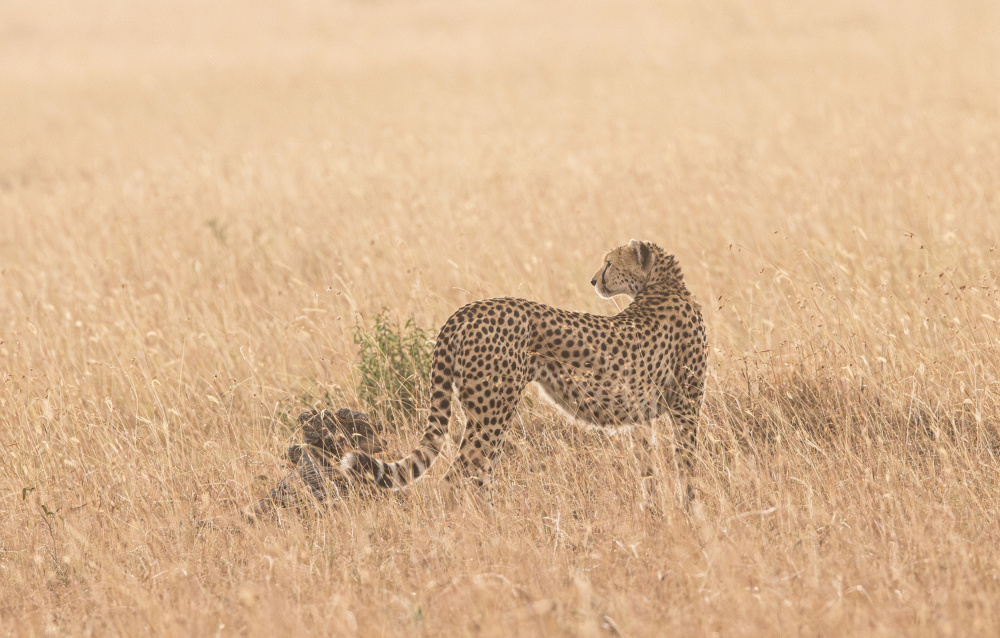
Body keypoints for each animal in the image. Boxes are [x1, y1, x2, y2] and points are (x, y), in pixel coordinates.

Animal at [339, 239, 708, 503]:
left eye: (609, 263)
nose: (593, 280)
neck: (663, 286)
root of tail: (466, 310)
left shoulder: (640, 415)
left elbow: (650, 468)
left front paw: (656, 511)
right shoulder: (686, 405)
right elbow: (688, 462)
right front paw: (692, 511)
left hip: (488, 414)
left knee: (479, 474)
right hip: (493, 412)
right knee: (456, 477)